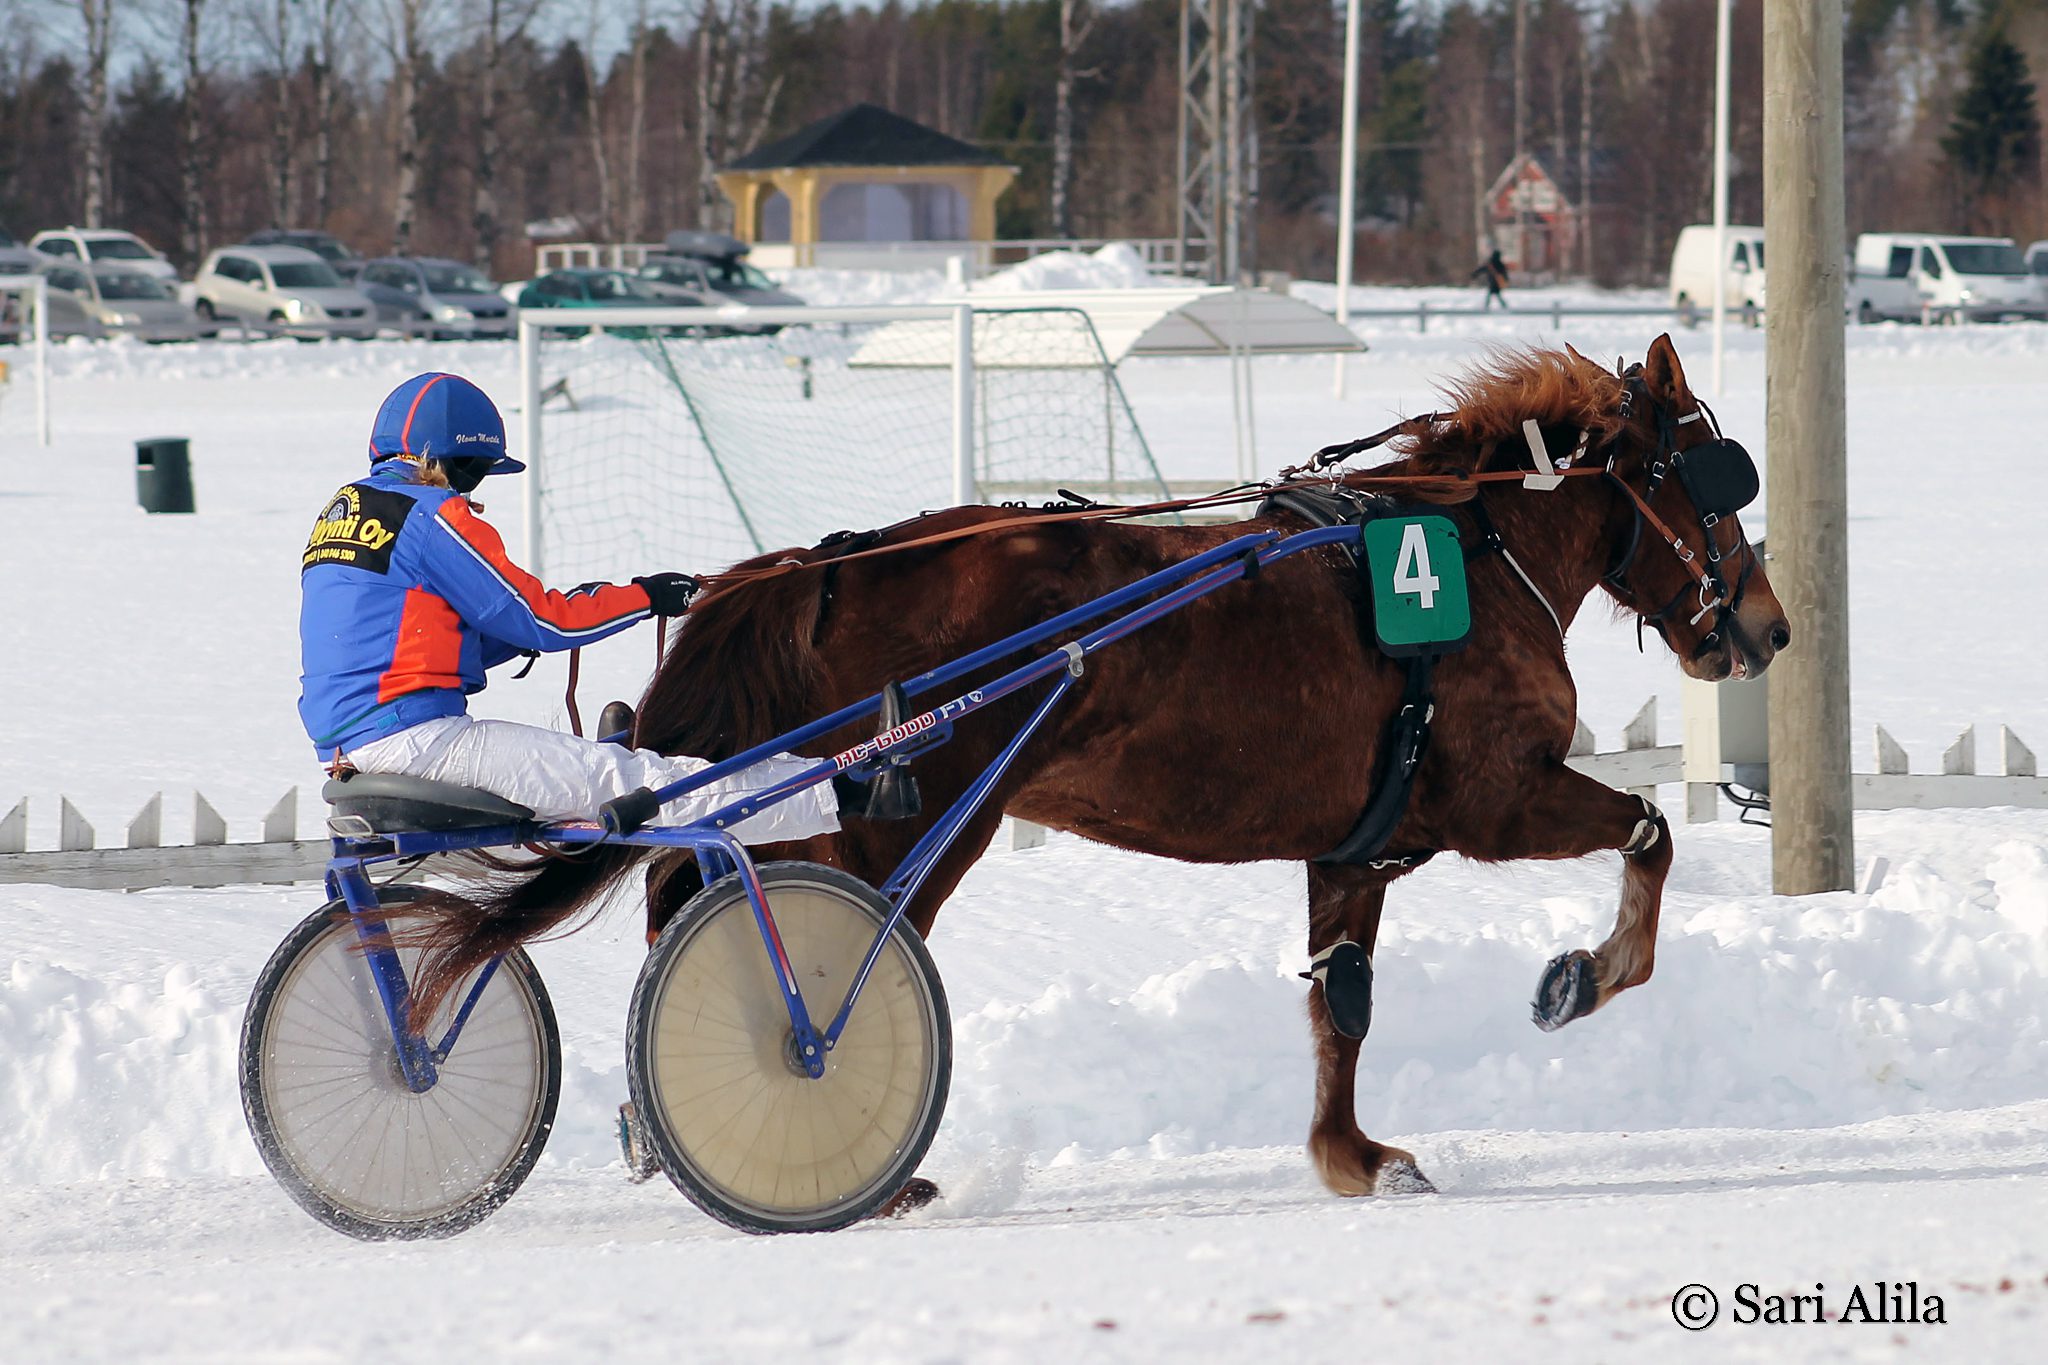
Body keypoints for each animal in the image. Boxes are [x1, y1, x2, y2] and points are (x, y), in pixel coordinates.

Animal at [408, 334, 1789, 1200]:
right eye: (1708, 474)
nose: (1768, 628)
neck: (1471, 550)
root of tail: (825, 566)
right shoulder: (1497, 796)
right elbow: (1651, 834)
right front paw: (1585, 974)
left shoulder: (1355, 843)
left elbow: (1338, 1008)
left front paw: (1350, 1156)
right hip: (904, 821)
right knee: (792, 945)